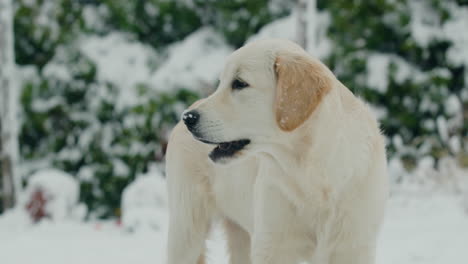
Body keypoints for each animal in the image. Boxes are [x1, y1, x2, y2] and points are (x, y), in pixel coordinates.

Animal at [165, 39, 388, 264]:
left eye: (239, 83)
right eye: (221, 83)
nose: (188, 118)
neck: (311, 174)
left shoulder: (352, 248)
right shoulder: (272, 245)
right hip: (186, 232)